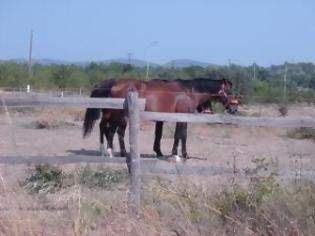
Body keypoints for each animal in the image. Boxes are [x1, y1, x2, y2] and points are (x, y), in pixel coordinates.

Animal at [84, 77, 239, 162]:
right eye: (229, 90)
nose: (234, 108)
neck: (189, 91)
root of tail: (115, 84)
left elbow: (182, 136)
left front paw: (184, 155)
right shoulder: (180, 117)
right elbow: (179, 135)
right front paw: (176, 156)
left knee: (111, 130)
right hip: (119, 115)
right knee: (111, 130)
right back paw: (111, 152)